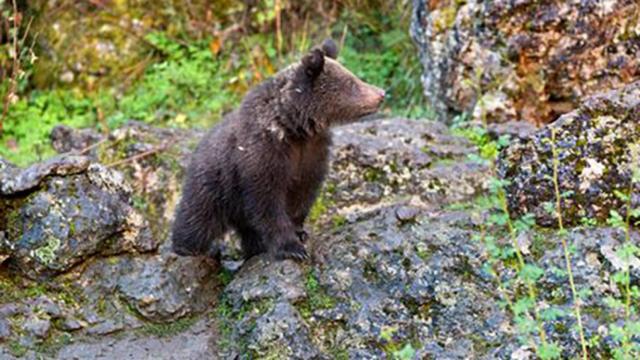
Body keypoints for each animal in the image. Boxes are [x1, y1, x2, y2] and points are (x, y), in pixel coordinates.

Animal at [171, 39, 384, 260]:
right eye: (351, 83)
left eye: (353, 77)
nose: (381, 94)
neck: (294, 128)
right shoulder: (262, 155)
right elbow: (268, 203)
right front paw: (292, 248)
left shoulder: (312, 153)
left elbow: (304, 193)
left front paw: (300, 232)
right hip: (214, 185)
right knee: (198, 219)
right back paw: (188, 247)